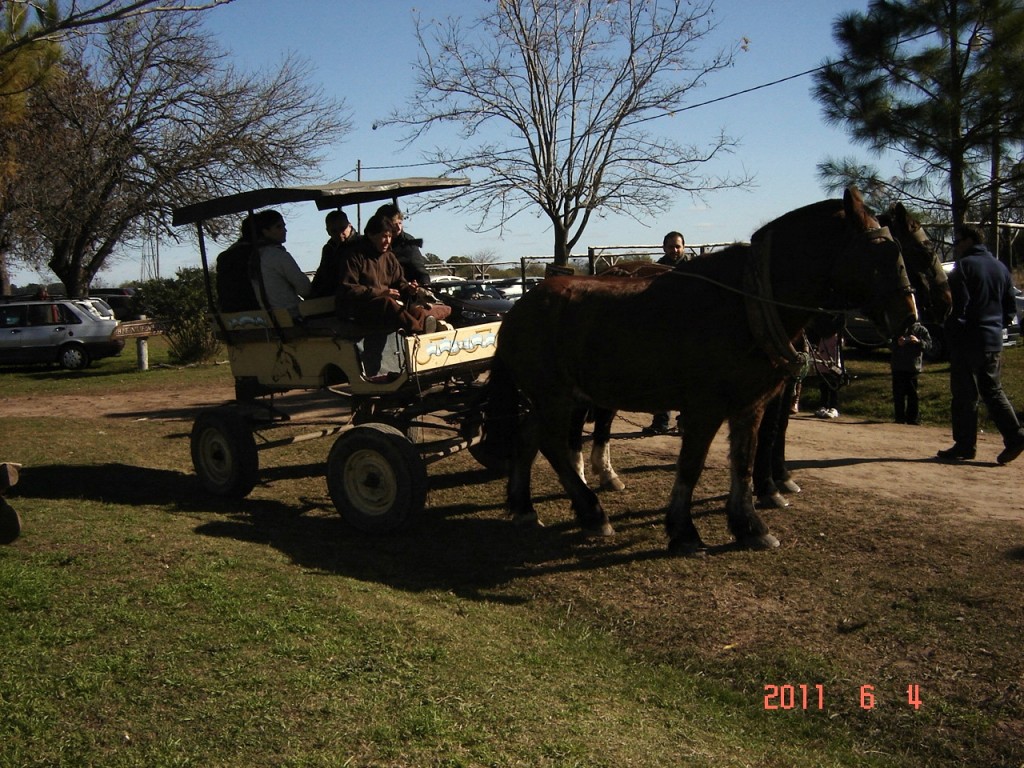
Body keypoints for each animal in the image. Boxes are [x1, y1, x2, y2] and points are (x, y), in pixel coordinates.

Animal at [483, 190, 917, 557]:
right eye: (880, 252)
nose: (909, 318)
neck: (746, 305)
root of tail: (519, 308)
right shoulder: (704, 407)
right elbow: (690, 465)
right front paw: (684, 531)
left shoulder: (751, 406)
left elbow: (743, 463)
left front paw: (750, 526)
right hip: (555, 397)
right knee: (553, 445)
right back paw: (593, 514)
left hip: (554, 398)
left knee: (528, 438)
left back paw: (524, 507)